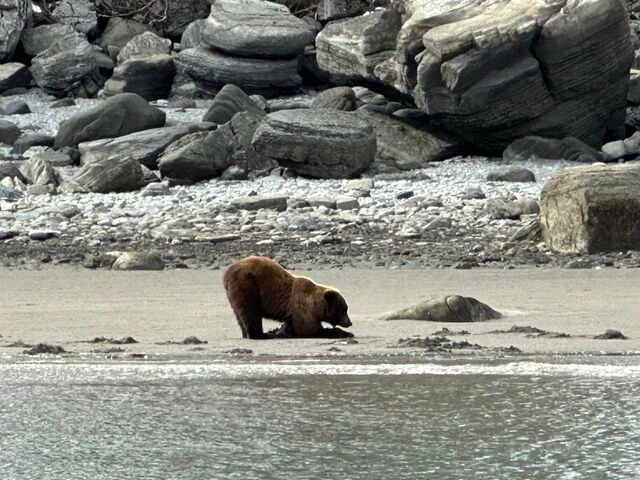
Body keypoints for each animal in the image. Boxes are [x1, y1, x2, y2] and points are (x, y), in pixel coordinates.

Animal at [223, 256, 353, 339]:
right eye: (343, 309)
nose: (349, 322)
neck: (315, 306)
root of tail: (227, 273)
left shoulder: (293, 314)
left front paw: (282, 331)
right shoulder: (302, 309)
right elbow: (310, 329)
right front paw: (344, 333)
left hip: (233, 294)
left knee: (239, 315)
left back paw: (247, 334)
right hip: (247, 285)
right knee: (251, 312)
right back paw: (262, 335)